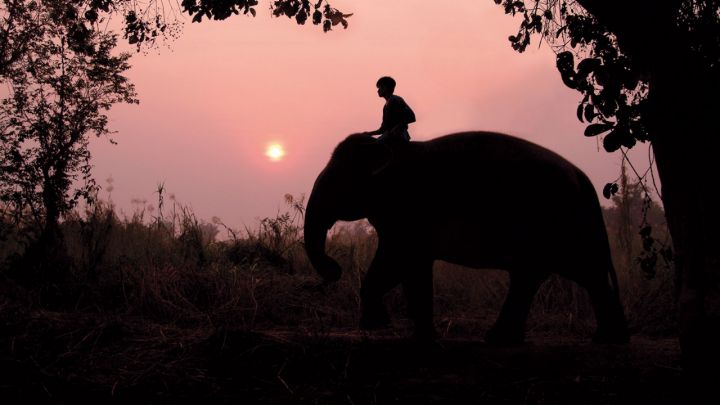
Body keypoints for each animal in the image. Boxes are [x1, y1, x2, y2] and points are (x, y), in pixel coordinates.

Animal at [304, 131, 632, 342]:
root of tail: (582, 176)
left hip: (558, 223)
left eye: (334, 182)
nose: (333, 268)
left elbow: (396, 262)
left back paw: (607, 339)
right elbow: (412, 269)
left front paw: (377, 326)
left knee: (579, 272)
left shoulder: (408, 212)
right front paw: (418, 335)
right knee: (538, 276)